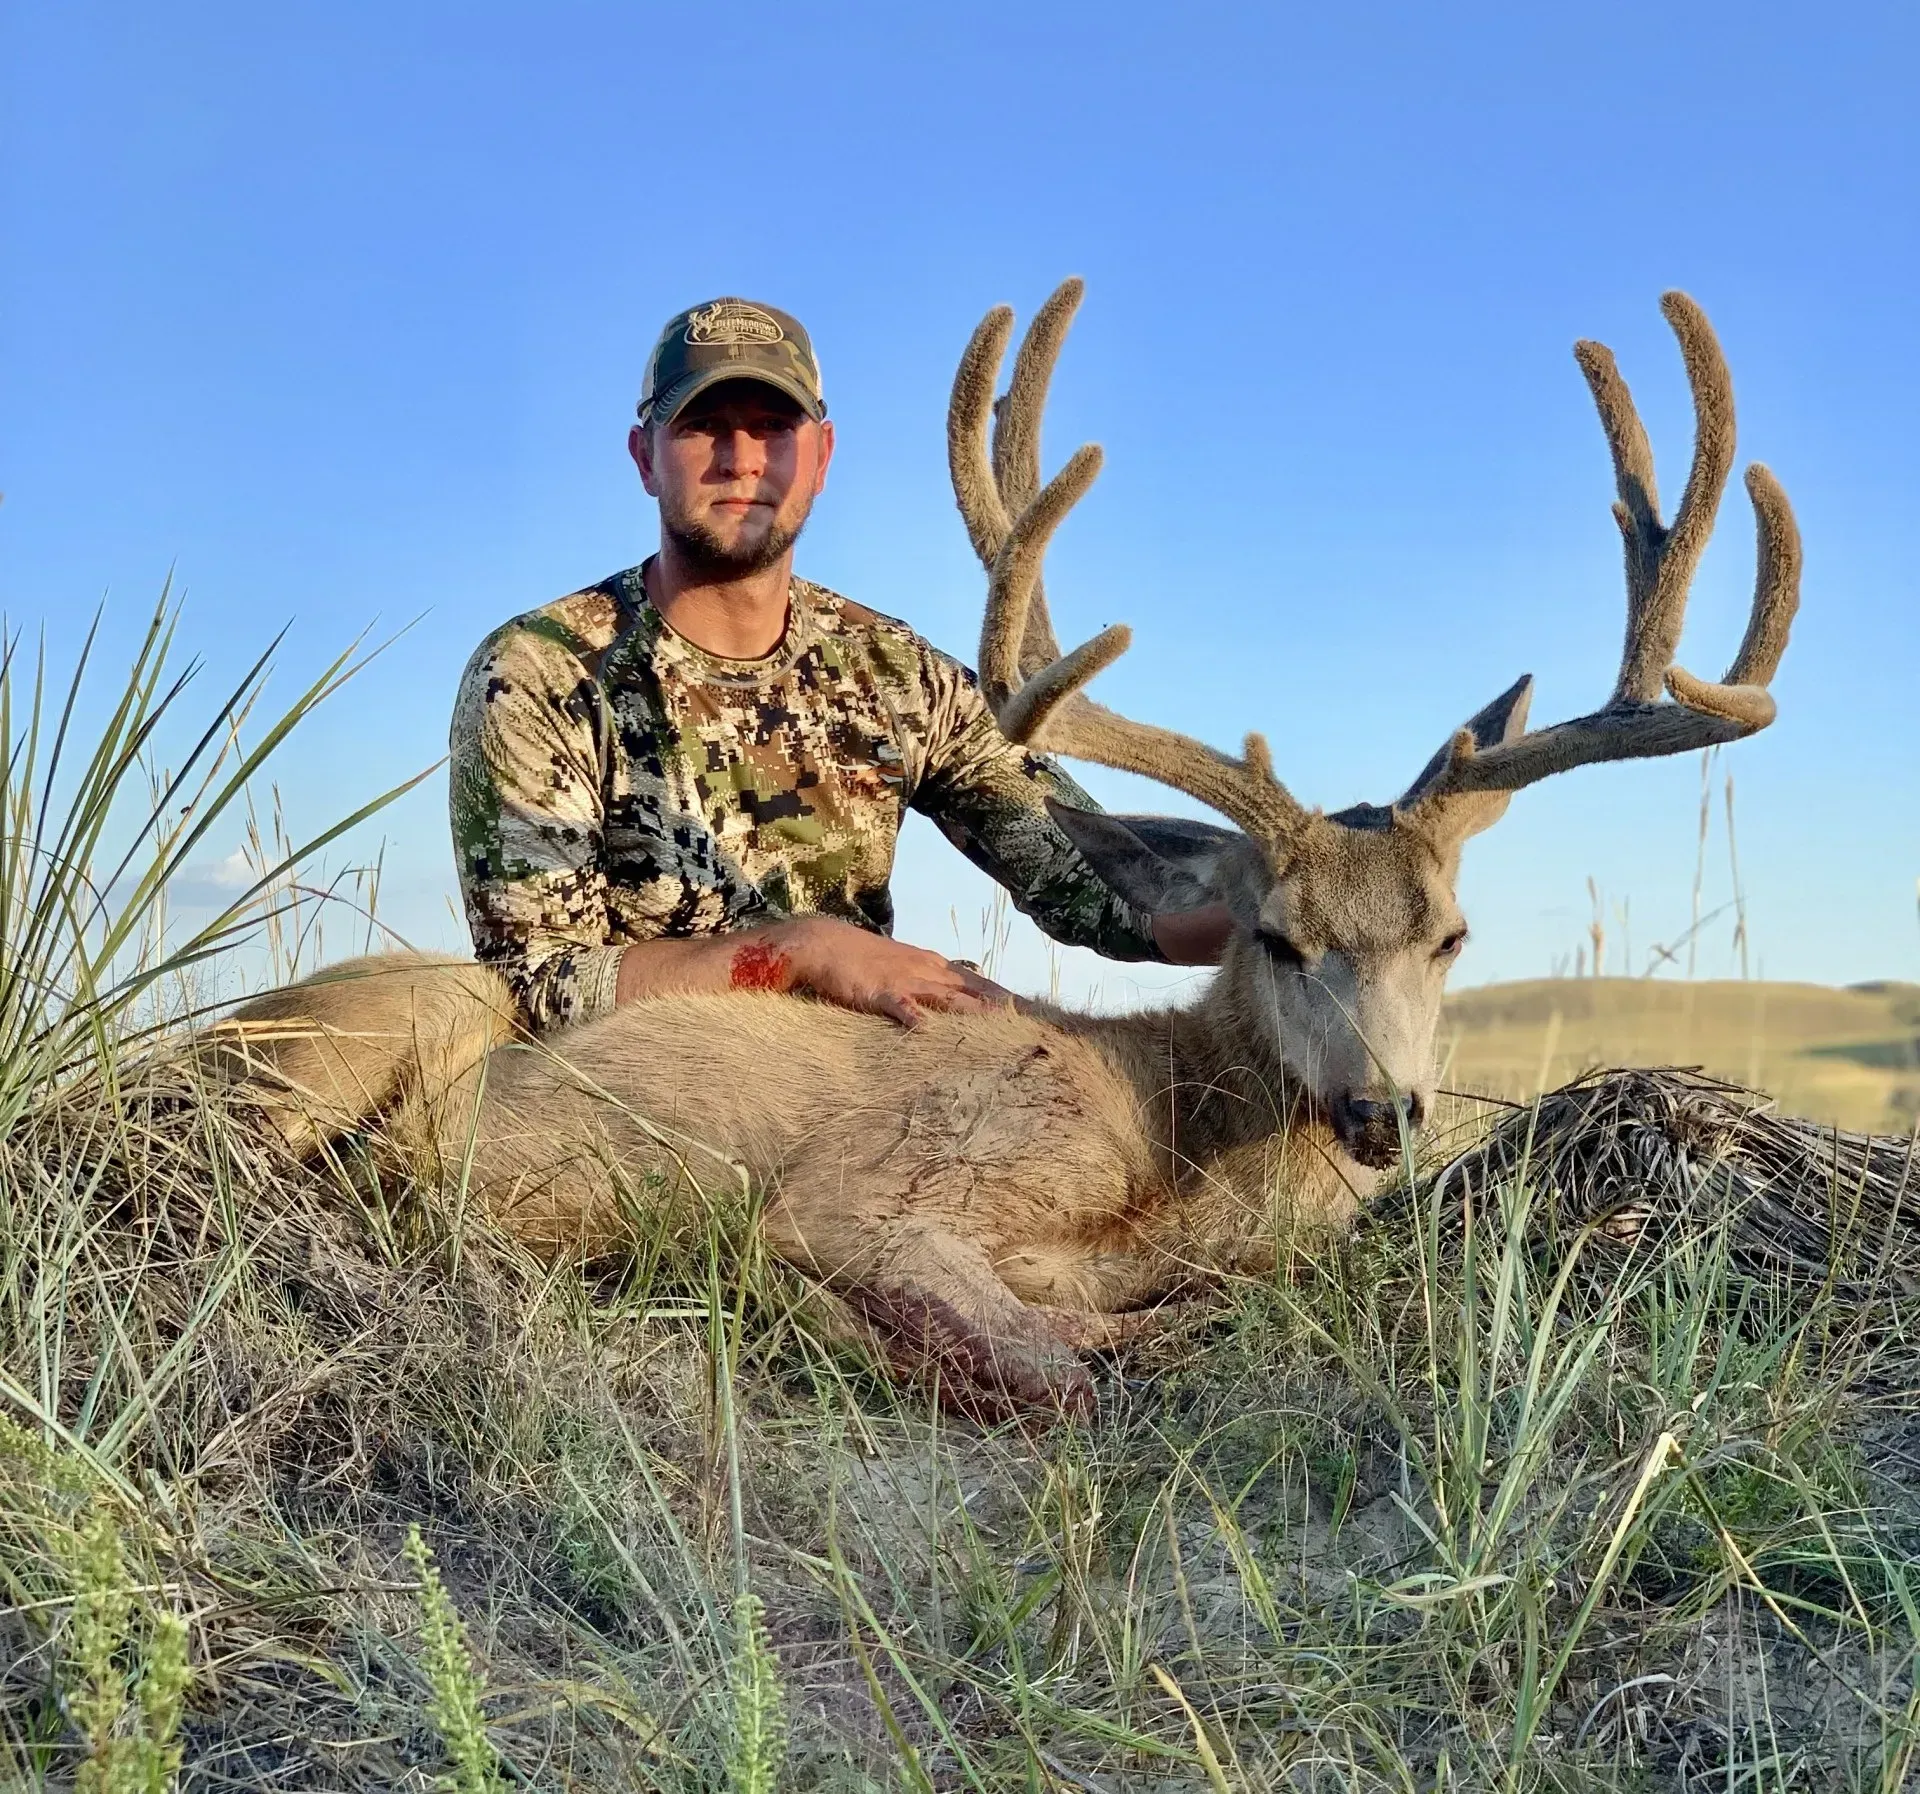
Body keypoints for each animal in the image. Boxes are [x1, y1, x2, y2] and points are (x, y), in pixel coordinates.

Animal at [212, 282, 1801, 1420]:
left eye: (1450, 936)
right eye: (1277, 935)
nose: (1383, 1112)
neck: (1171, 1139)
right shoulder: (881, 1193)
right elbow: (1060, 1360)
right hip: (365, 1031)